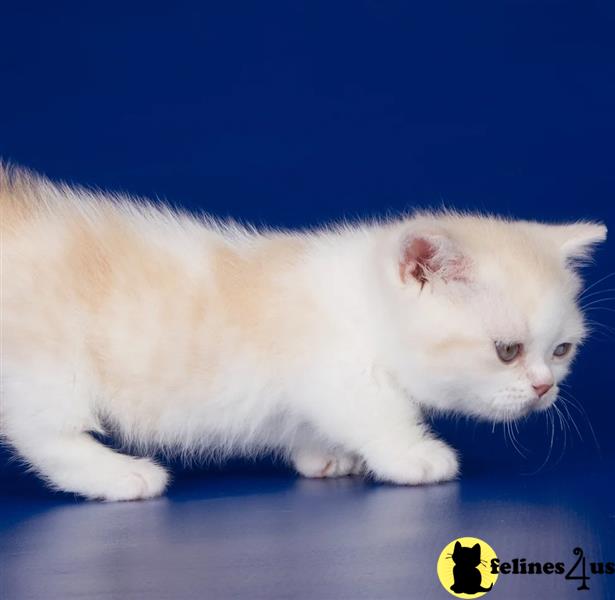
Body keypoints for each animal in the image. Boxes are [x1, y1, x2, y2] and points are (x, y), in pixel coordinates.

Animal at [0, 166, 608, 500]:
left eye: (561, 350)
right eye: (507, 351)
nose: (544, 387)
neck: (363, 305)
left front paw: (324, 455)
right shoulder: (338, 372)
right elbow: (379, 411)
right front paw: (415, 455)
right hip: (46, 366)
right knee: (44, 432)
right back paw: (120, 475)